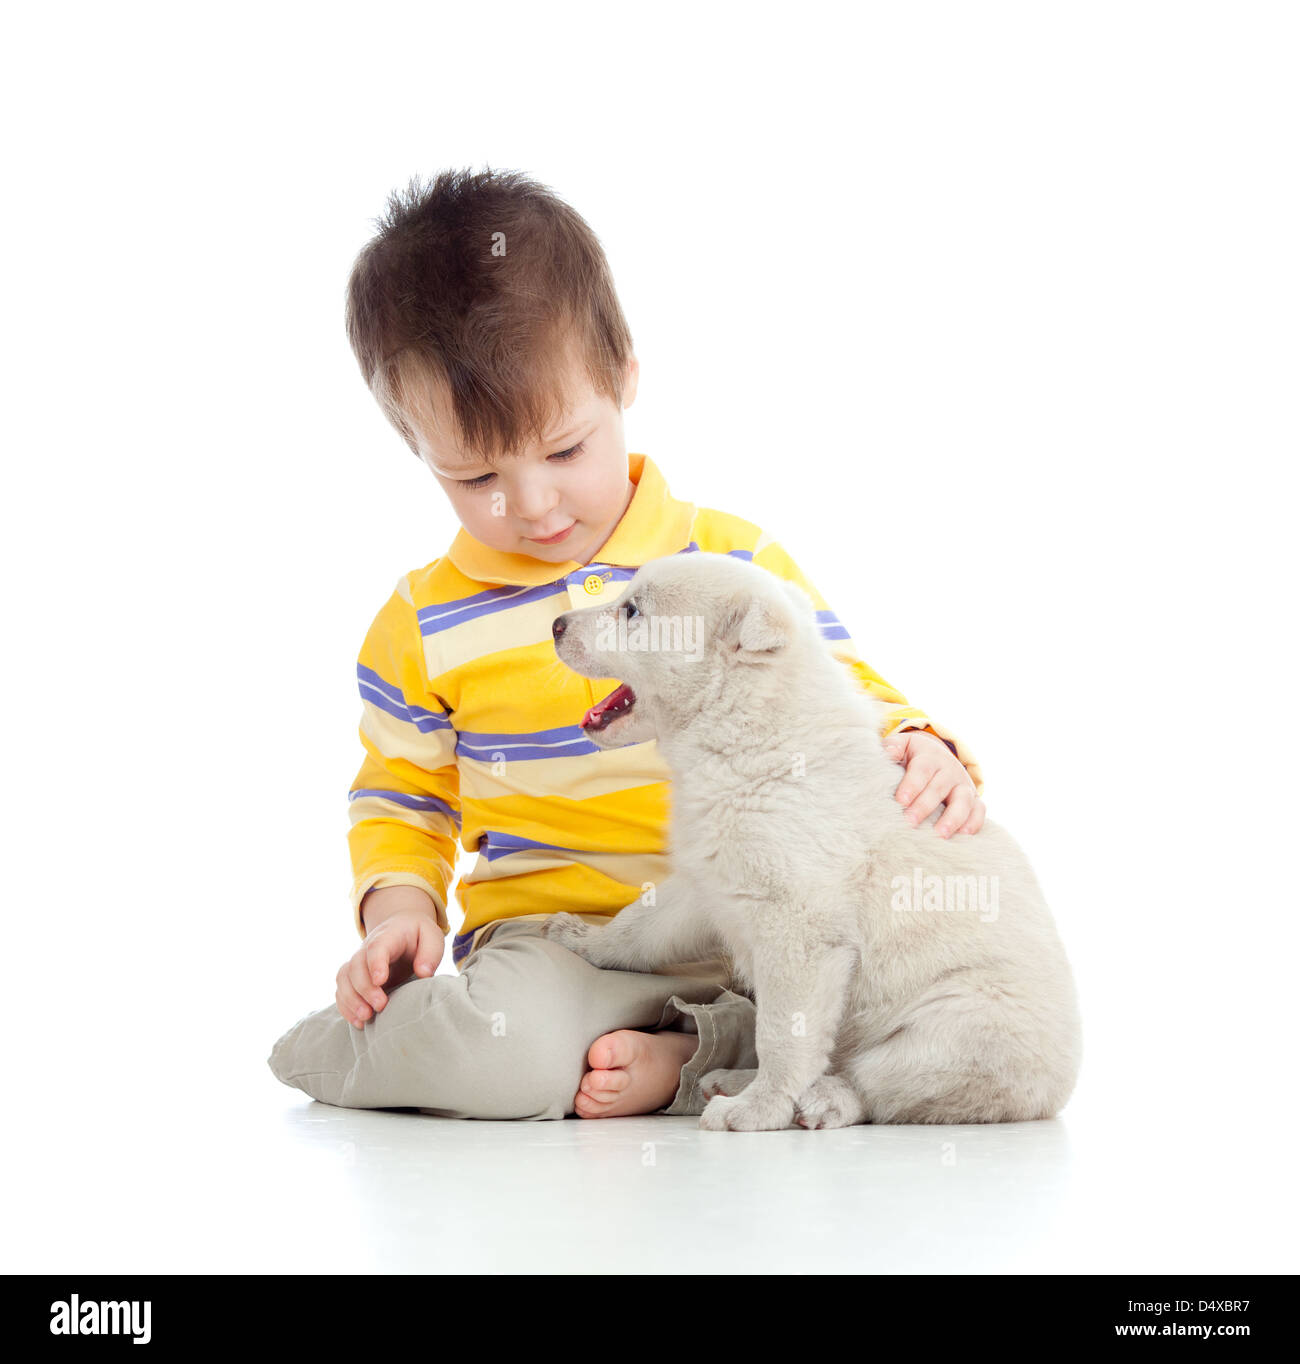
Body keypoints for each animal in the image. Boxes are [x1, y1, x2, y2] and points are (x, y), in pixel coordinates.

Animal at [542, 551, 1080, 1129]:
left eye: (632, 611)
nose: (556, 625)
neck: (748, 739)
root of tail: (1057, 1095)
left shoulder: (799, 929)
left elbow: (783, 1035)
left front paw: (758, 1110)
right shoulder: (704, 885)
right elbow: (638, 927)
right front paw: (583, 939)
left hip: (962, 1020)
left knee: (880, 1081)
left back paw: (816, 1098)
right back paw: (732, 1079)